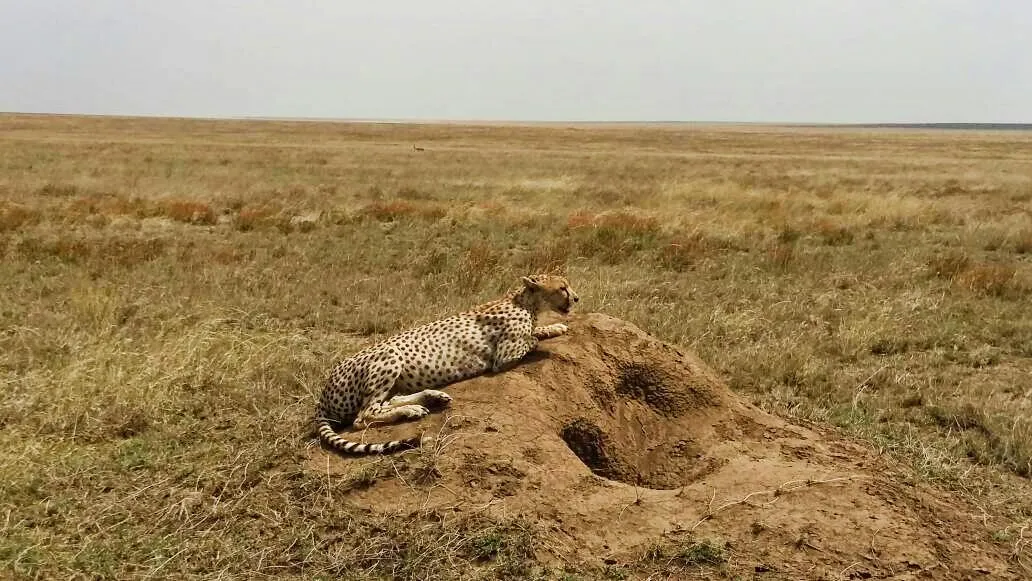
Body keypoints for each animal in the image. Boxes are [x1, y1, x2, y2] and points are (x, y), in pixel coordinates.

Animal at [315, 274, 579, 455]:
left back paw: (428, 399)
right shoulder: (504, 357)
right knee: (363, 416)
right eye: (562, 288)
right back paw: (411, 409)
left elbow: (537, 331)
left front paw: (555, 327)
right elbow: (530, 339)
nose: (576, 298)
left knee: (387, 402)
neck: (524, 301)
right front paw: (545, 332)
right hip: (389, 355)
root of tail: (323, 393)